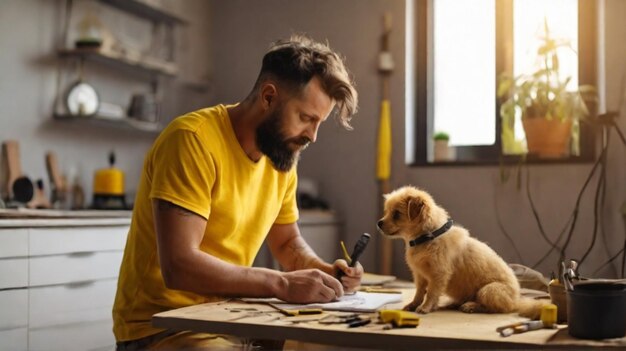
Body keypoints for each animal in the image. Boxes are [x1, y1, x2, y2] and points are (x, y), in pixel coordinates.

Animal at [376, 187, 540, 320]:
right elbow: (419, 293)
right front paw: (412, 305)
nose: (379, 223)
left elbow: (431, 293)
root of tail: (517, 300)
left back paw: (471, 306)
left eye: (397, 214)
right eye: (387, 212)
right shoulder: (420, 275)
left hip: (488, 290)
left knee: (494, 308)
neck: (427, 237)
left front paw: (425, 308)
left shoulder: (438, 274)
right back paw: (453, 304)